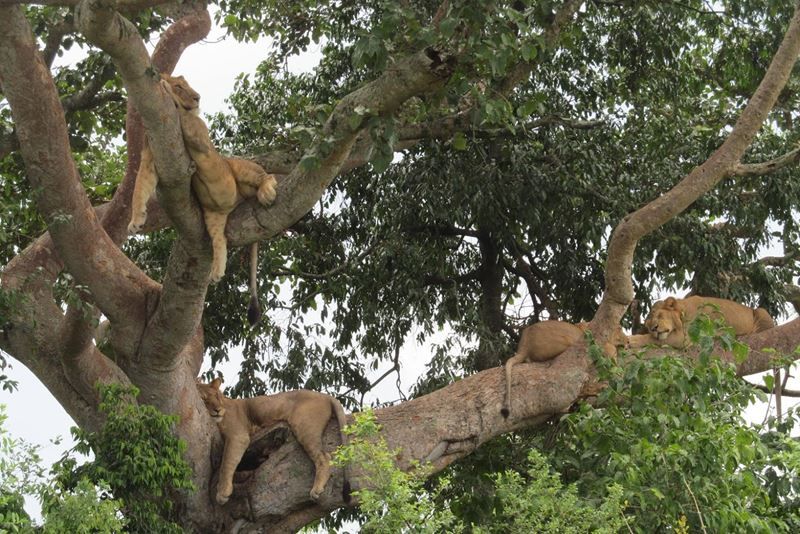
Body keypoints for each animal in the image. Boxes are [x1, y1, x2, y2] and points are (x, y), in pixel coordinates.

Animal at [128, 74, 277, 322]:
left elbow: (185, 115)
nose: (198, 97)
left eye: (188, 86)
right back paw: (216, 270)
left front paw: (166, 89)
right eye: (181, 86)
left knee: (266, 174)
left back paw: (267, 190)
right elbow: (139, 189)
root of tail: (238, 203)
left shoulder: (199, 136)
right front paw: (135, 221)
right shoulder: (151, 158)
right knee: (220, 240)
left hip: (236, 165)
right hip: (213, 216)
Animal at [196, 378, 351, 505]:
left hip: (305, 426)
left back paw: (317, 489)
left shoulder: (238, 435)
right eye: (204, 399)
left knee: (324, 457)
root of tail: (325, 395)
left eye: (217, 396)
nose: (218, 410)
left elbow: (226, 462)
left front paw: (222, 492)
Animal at [628, 295, 775, 349]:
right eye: (648, 326)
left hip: (761, 311)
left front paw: (633, 340)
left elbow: (653, 339)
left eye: (659, 315)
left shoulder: (686, 338)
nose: (654, 329)